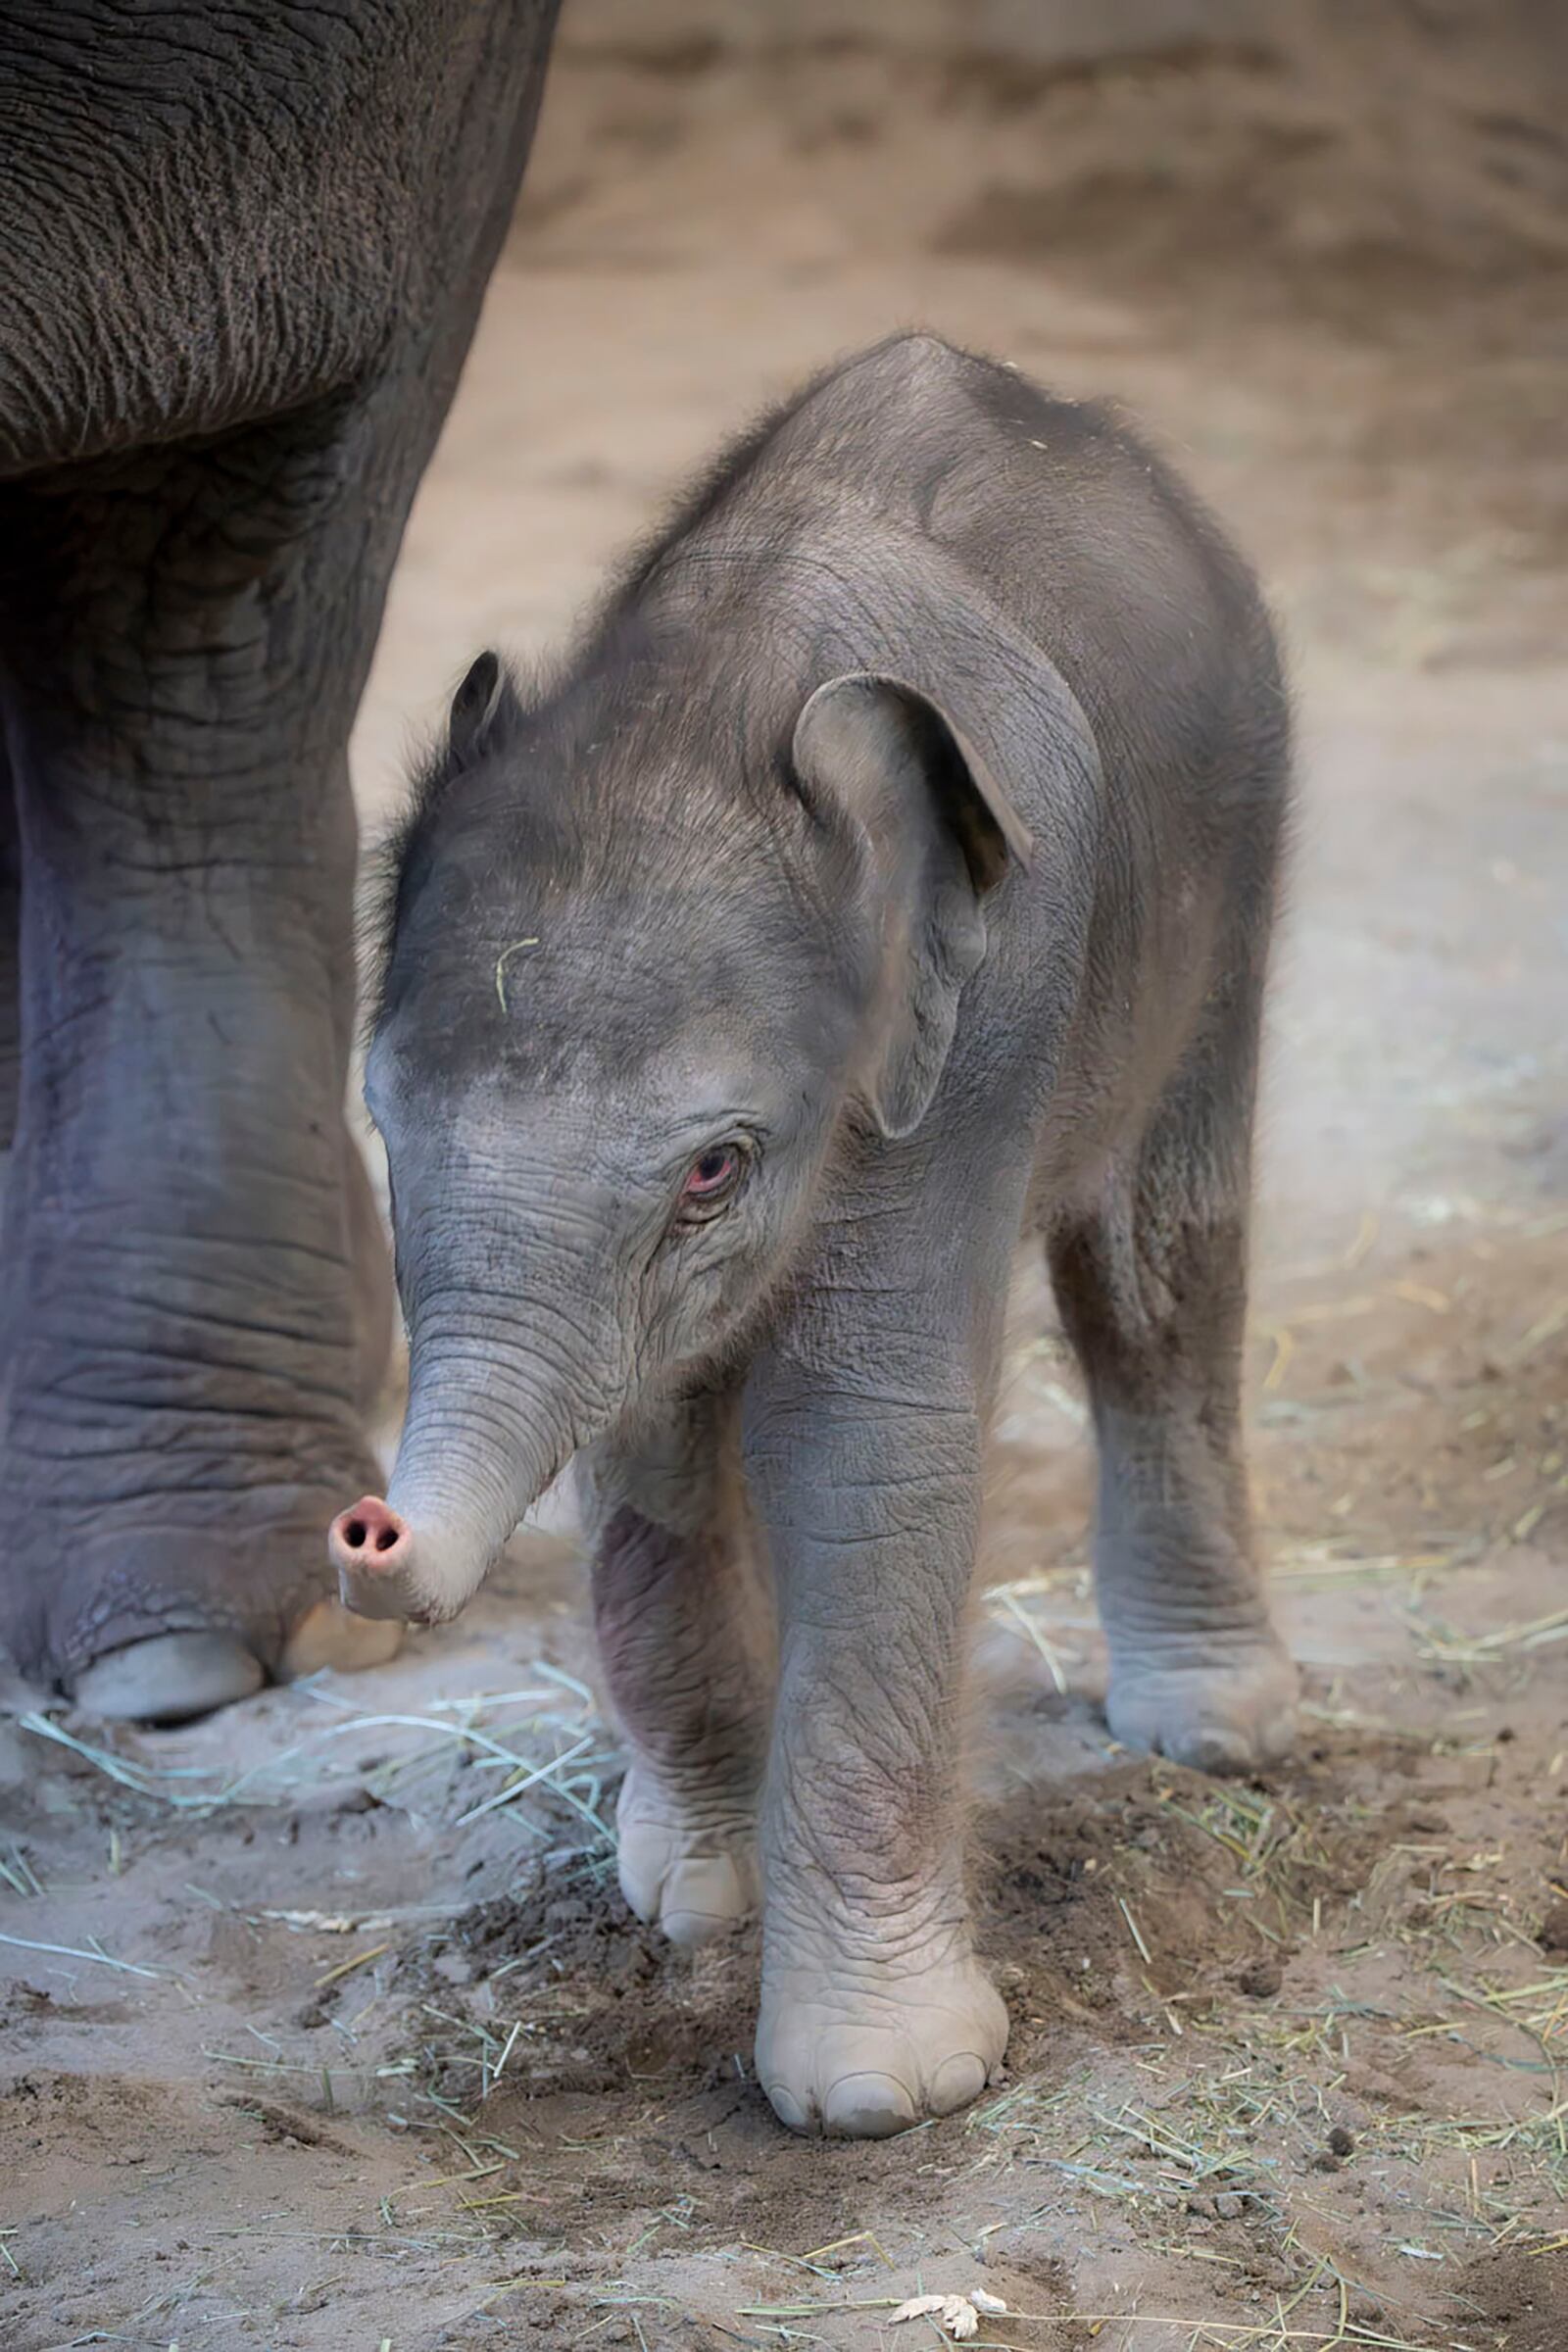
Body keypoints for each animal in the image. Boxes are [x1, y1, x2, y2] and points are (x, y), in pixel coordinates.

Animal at [340, 336, 1298, 2154]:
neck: (720, 682)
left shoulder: (973, 1030)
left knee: (1153, 1265)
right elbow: (649, 1424)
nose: (362, 1531)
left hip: (1233, 869)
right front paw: (693, 1905)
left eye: (716, 1168)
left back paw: (1218, 1734)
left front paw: (883, 2093)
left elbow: (863, 1439)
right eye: (379, 1122)